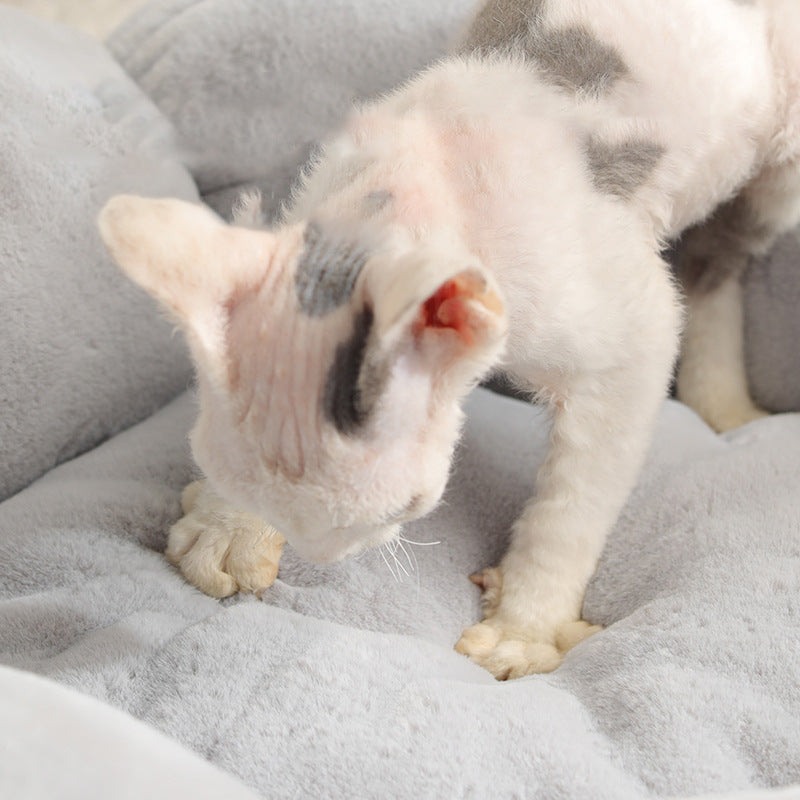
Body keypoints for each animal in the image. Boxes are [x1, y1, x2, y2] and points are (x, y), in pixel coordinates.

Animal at [98, 0, 800, 680]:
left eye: (400, 511)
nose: (324, 557)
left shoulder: (630, 331)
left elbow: (573, 502)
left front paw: (525, 627)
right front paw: (227, 528)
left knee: (717, 261)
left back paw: (724, 405)